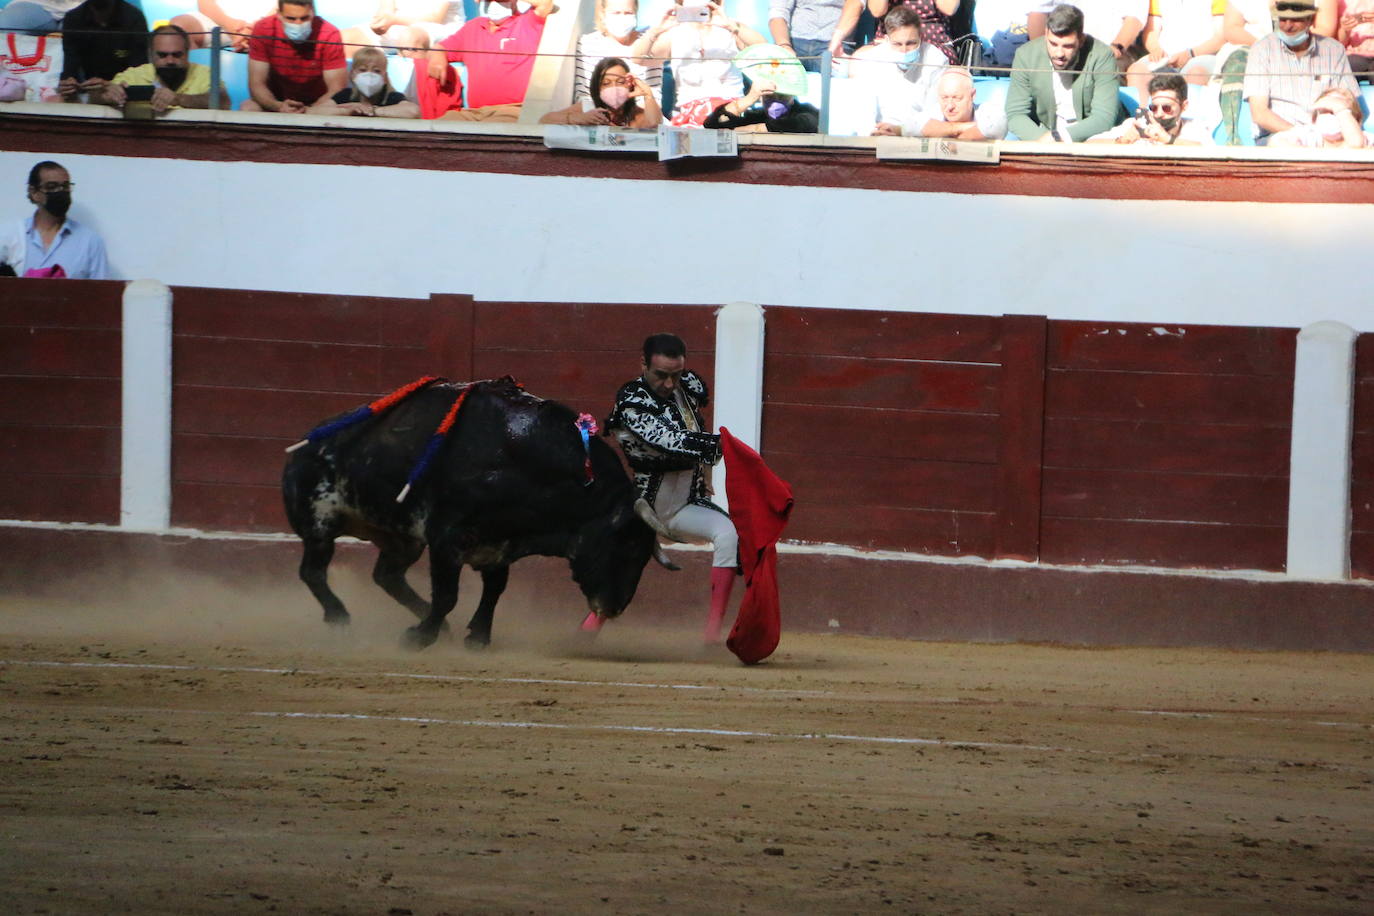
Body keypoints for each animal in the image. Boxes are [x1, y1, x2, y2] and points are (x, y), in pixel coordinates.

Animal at [278, 376, 665, 648]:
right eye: (627, 547)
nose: (613, 608)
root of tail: (302, 446)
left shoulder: (498, 542)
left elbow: (494, 589)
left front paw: (476, 636)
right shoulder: (446, 538)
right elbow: (448, 594)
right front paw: (419, 638)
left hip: (402, 538)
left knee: (386, 575)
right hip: (319, 521)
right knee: (312, 571)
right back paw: (341, 619)